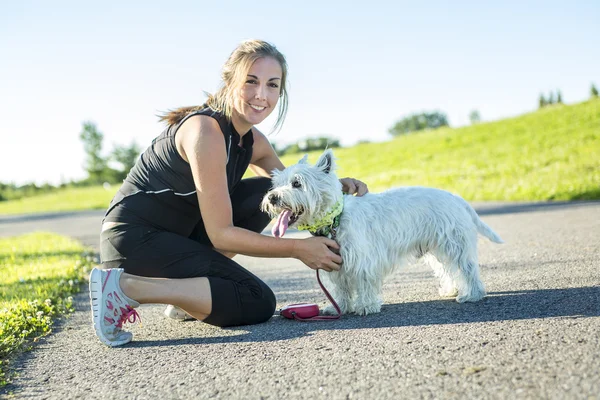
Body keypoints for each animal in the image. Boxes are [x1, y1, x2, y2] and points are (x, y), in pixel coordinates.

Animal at [264, 149, 504, 316]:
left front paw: (366, 306)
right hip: (437, 248)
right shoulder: (336, 262)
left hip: (454, 244)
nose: (272, 197)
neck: (335, 219)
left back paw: (472, 295)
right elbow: (341, 288)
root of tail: (456, 197)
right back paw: (451, 291)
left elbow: (364, 283)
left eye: (297, 183)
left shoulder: (362, 260)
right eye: (276, 183)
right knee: (448, 270)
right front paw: (339, 307)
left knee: (467, 268)